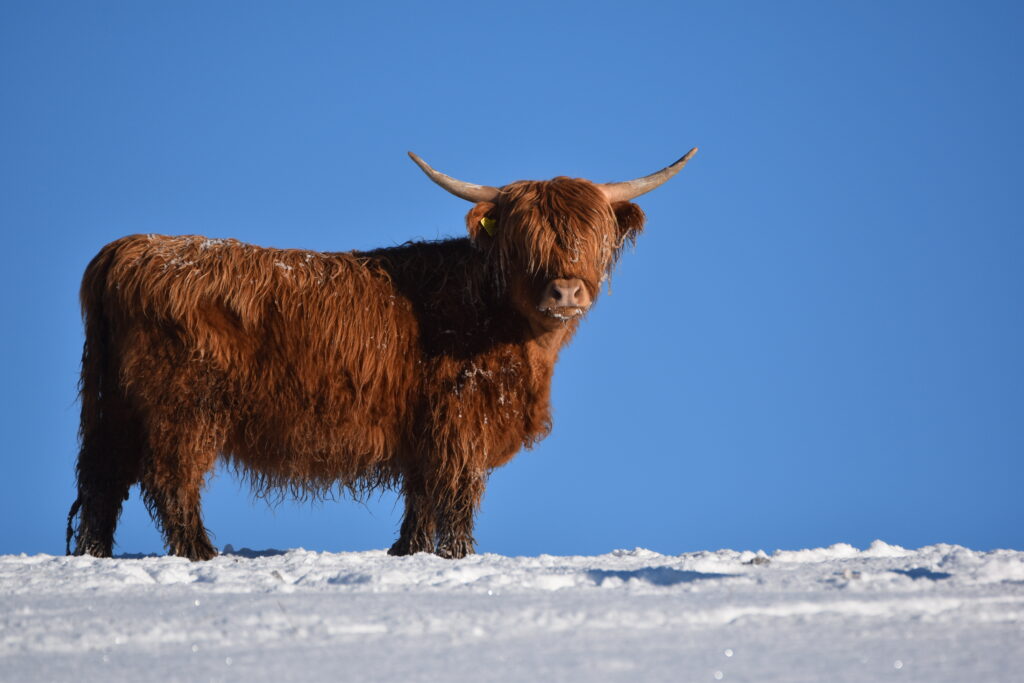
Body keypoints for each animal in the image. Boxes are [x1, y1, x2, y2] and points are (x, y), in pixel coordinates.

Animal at [66, 148, 697, 561]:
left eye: (590, 237)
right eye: (525, 241)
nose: (565, 292)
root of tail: (128, 250)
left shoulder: (425, 431)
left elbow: (422, 501)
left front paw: (408, 553)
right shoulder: (460, 422)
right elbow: (457, 497)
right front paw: (457, 557)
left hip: (112, 407)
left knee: (102, 481)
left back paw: (96, 555)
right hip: (185, 408)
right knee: (170, 479)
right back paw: (202, 554)